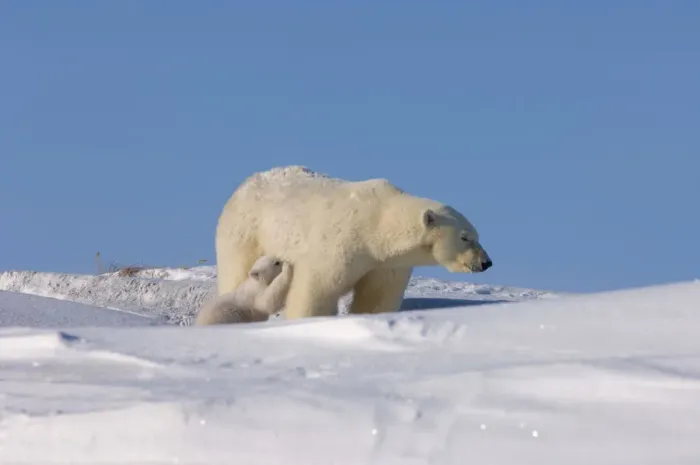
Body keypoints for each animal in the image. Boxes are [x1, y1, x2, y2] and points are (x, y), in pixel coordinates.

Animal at [215, 165, 492, 320]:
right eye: (465, 237)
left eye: (477, 236)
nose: (485, 262)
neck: (377, 222)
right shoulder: (340, 243)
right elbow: (316, 289)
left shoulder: (384, 264)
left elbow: (376, 297)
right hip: (246, 233)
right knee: (238, 271)